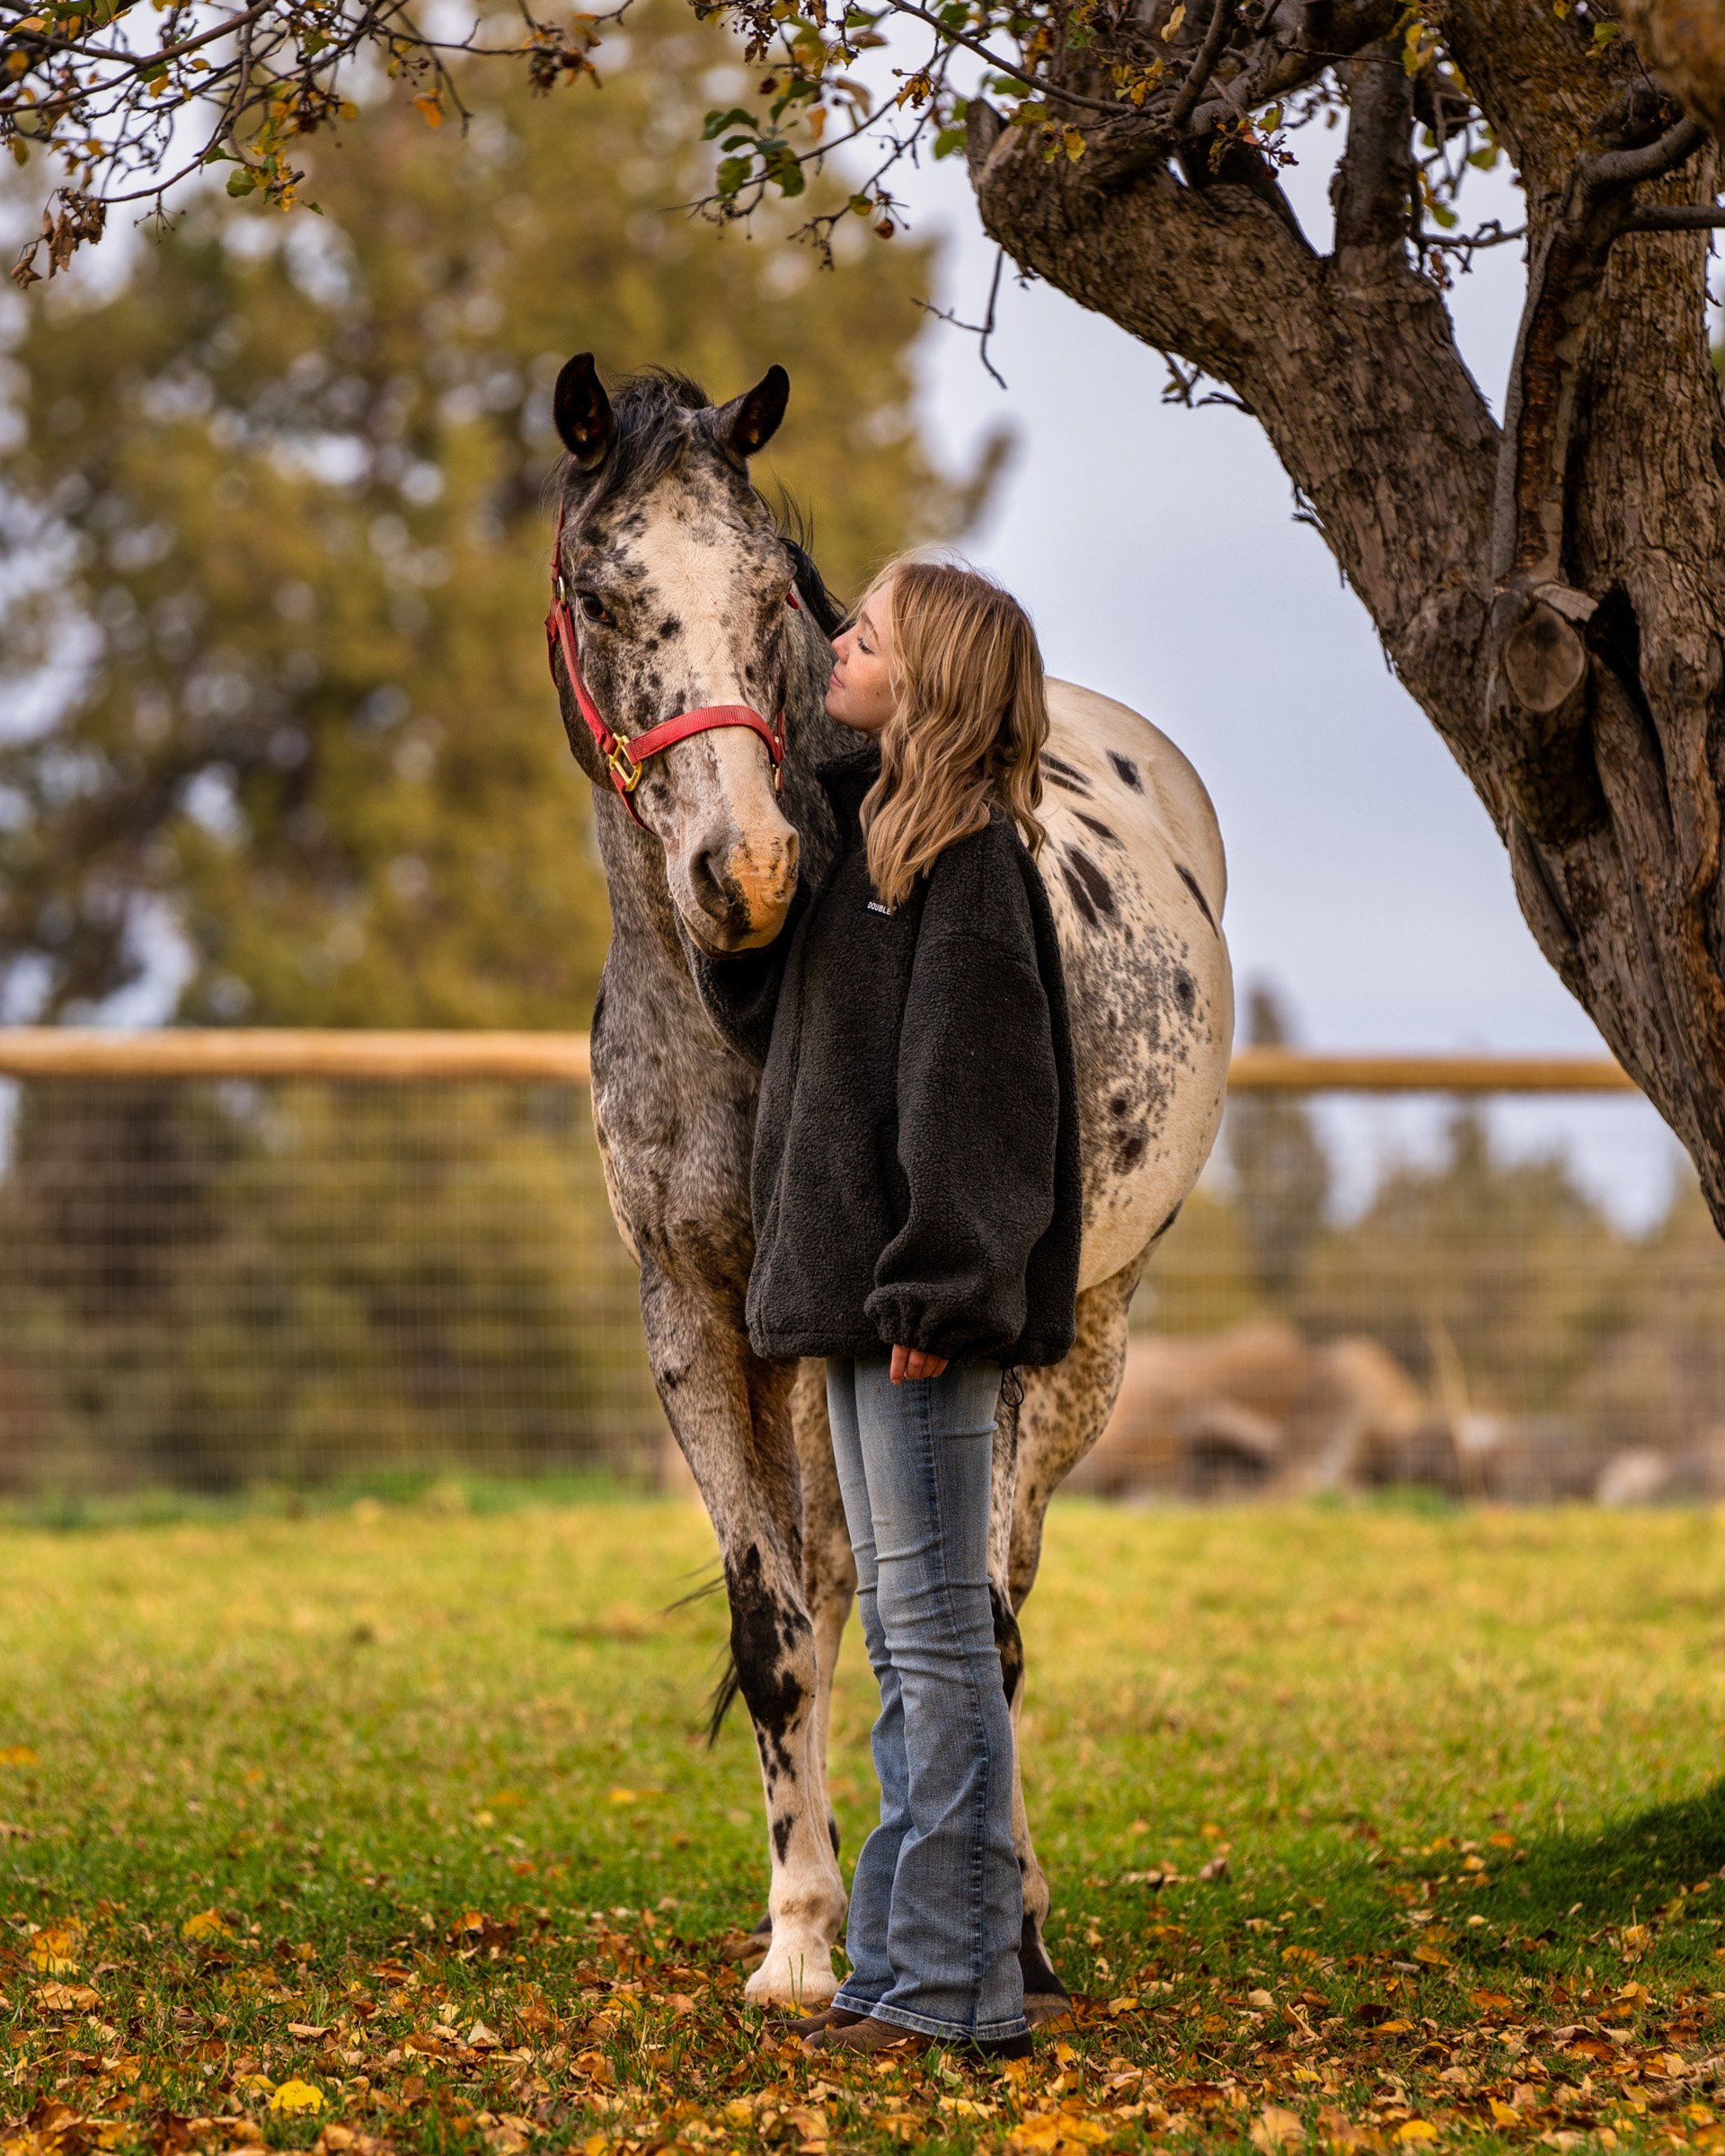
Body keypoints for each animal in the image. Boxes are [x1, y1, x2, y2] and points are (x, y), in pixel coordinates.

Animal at [545, 353, 1233, 2018]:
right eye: (601, 592)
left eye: (768, 589)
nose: (745, 875)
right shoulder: (696, 1319)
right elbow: (775, 1625)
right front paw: (796, 1939)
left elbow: (973, 1628)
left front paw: (989, 1930)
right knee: (848, 1584)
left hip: (1089, 1340)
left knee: (990, 1604)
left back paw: (1011, 1906)